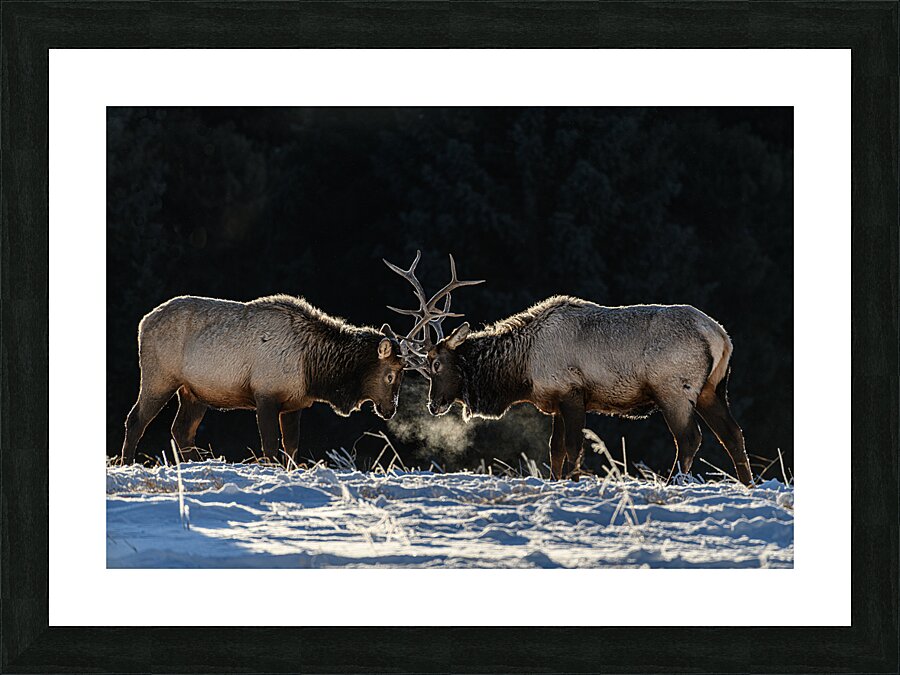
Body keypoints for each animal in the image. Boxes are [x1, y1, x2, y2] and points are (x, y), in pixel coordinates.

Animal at [120, 294, 410, 466]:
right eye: (390, 375)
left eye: (404, 373)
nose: (390, 409)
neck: (315, 369)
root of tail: (143, 323)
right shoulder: (265, 394)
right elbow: (270, 445)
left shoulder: (295, 404)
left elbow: (291, 446)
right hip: (159, 377)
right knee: (136, 419)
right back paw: (126, 462)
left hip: (194, 392)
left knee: (181, 430)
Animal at [384, 252, 754, 486]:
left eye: (436, 364)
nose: (434, 404)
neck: (521, 369)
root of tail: (721, 337)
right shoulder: (554, 401)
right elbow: (556, 451)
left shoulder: (572, 393)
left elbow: (574, 449)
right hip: (712, 389)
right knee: (733, 435)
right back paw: (748, 486)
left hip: (674, 389)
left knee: (690, 438)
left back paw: (672, 484)